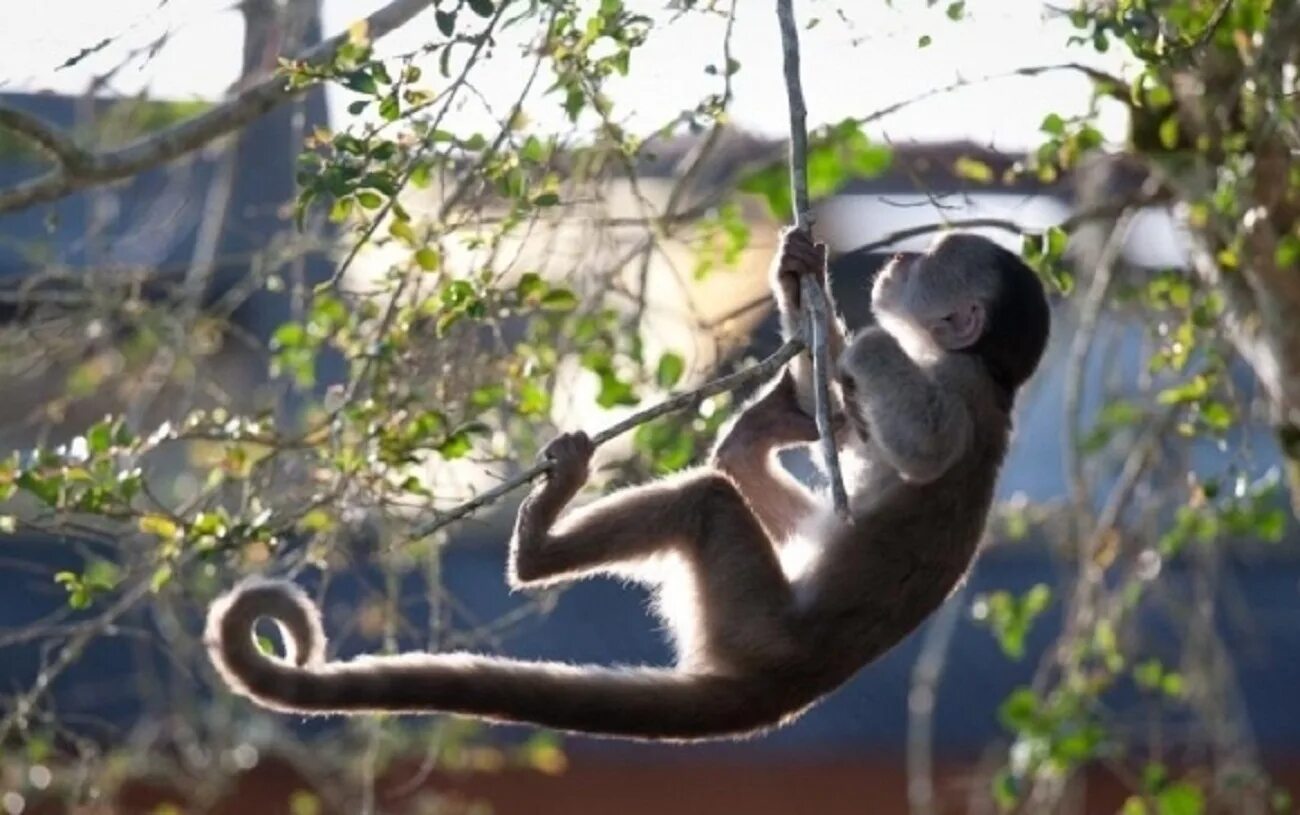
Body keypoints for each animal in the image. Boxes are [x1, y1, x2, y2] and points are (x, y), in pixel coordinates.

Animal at [208, 226, 1050, 743]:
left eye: (932, 261)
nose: (902, 264)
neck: (987, 377)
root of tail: (787, 684)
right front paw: (799, 283)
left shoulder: (953, 388)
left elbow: (927, 449)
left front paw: (863, 336)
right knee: (735, 469)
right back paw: (754, 430)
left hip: (750, 620)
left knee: (707, 502)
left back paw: (537, 546)